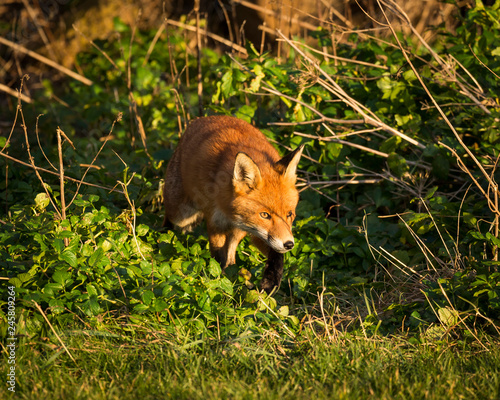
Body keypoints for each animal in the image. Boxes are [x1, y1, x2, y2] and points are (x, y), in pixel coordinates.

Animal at [165, 115, 304, 294]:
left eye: (289, 214)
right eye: (264, 215)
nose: (289, 244)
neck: (228, 207)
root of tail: (202, 118)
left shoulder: (256, 231)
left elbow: (276, 256)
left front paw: (270, 282)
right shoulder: (215, 224)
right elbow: (218, 259)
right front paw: (221, 285)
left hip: (238, 231)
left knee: (231, 257)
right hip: (179, 213)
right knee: (169, 219)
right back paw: (162, 239)